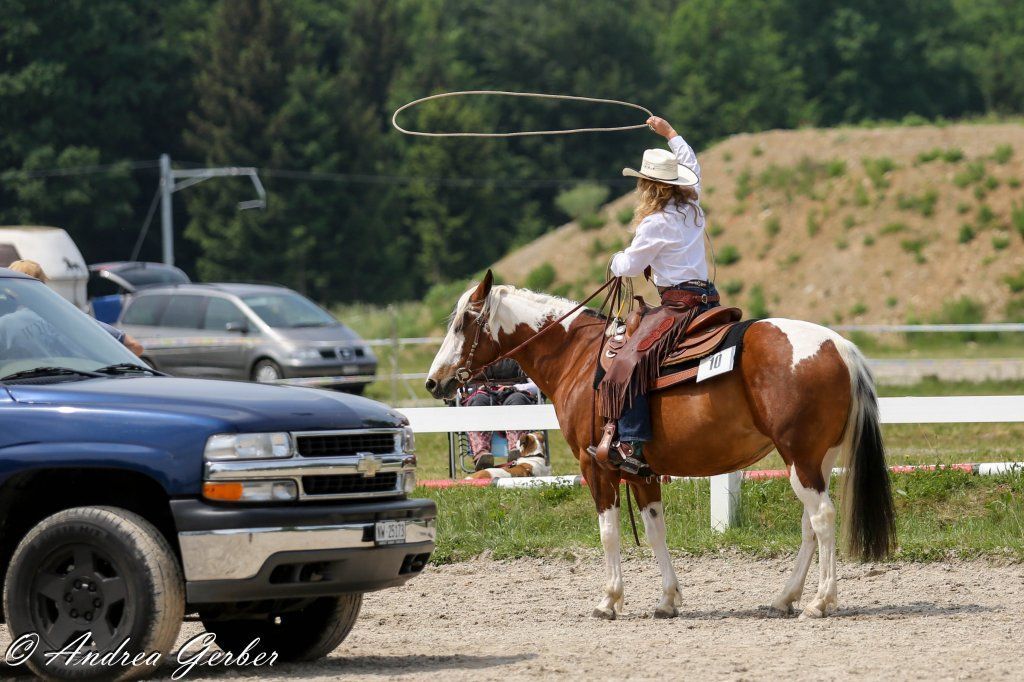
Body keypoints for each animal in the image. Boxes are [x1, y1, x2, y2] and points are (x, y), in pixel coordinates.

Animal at [426, 271, 895, 620]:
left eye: (462, 322)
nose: (434, 381)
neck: (578, 358)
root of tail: (840, 346)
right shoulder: (640, 472)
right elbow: (654, 531)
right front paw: (667, 599)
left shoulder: (595, 467)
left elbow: (609, 532)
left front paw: (609, 600)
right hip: (815, 459)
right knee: (809, 525)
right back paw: (785, 597)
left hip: (800, 457)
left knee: (823, 518)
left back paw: (819, 602)